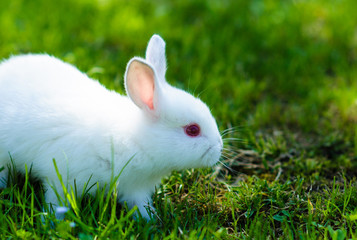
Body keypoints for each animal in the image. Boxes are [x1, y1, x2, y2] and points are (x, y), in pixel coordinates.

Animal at [0, 34, 221, 220]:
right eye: (192, 130)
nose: (219, 149)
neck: (134, 141)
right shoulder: (61, 178)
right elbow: (57, 203)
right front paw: (53, 222)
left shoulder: (136, 189)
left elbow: (141, 207)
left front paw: (151, 221)